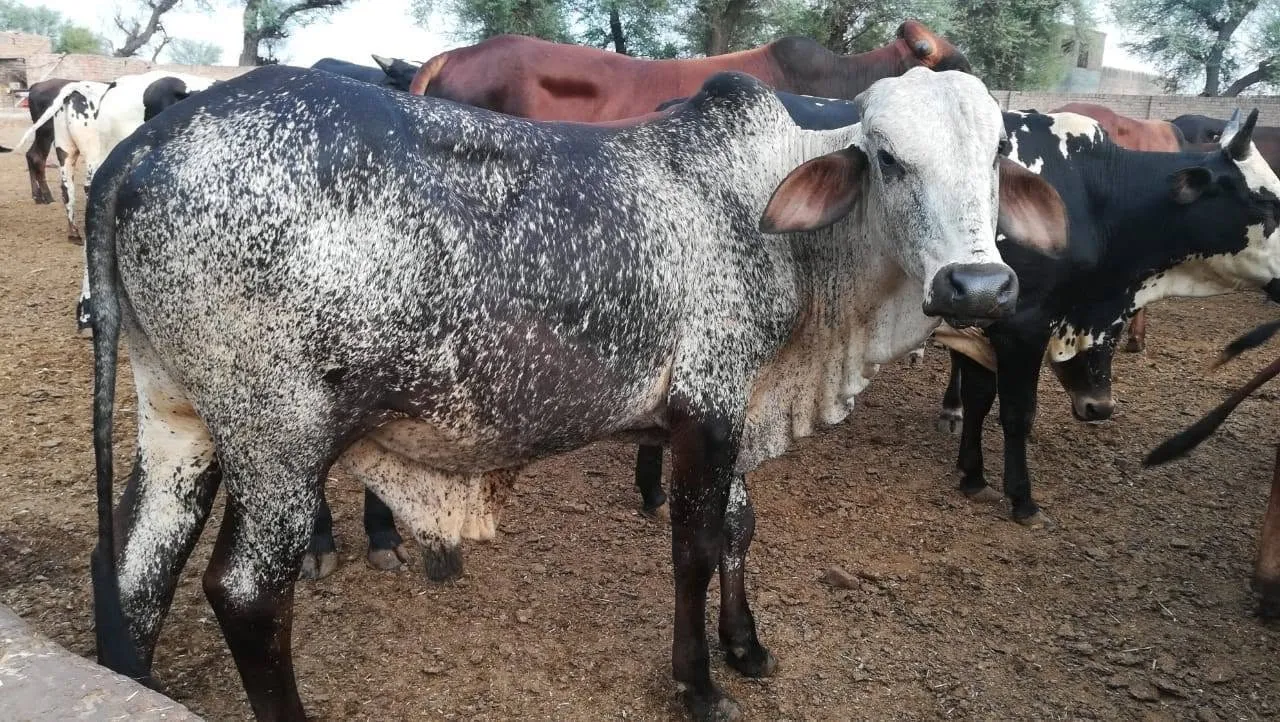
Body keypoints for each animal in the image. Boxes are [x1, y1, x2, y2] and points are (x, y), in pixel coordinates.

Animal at [84, 65, 1064, 720]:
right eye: (889, 157)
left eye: (996, 153)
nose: (979, 285)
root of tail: (145, 142)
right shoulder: (707, 404)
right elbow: (694, 547)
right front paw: (698, 683)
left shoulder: (734, 404)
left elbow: (741, 527)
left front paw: (746, 646)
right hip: (278, 439)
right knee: (247, 592)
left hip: (179, 420)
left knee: (135, 566)